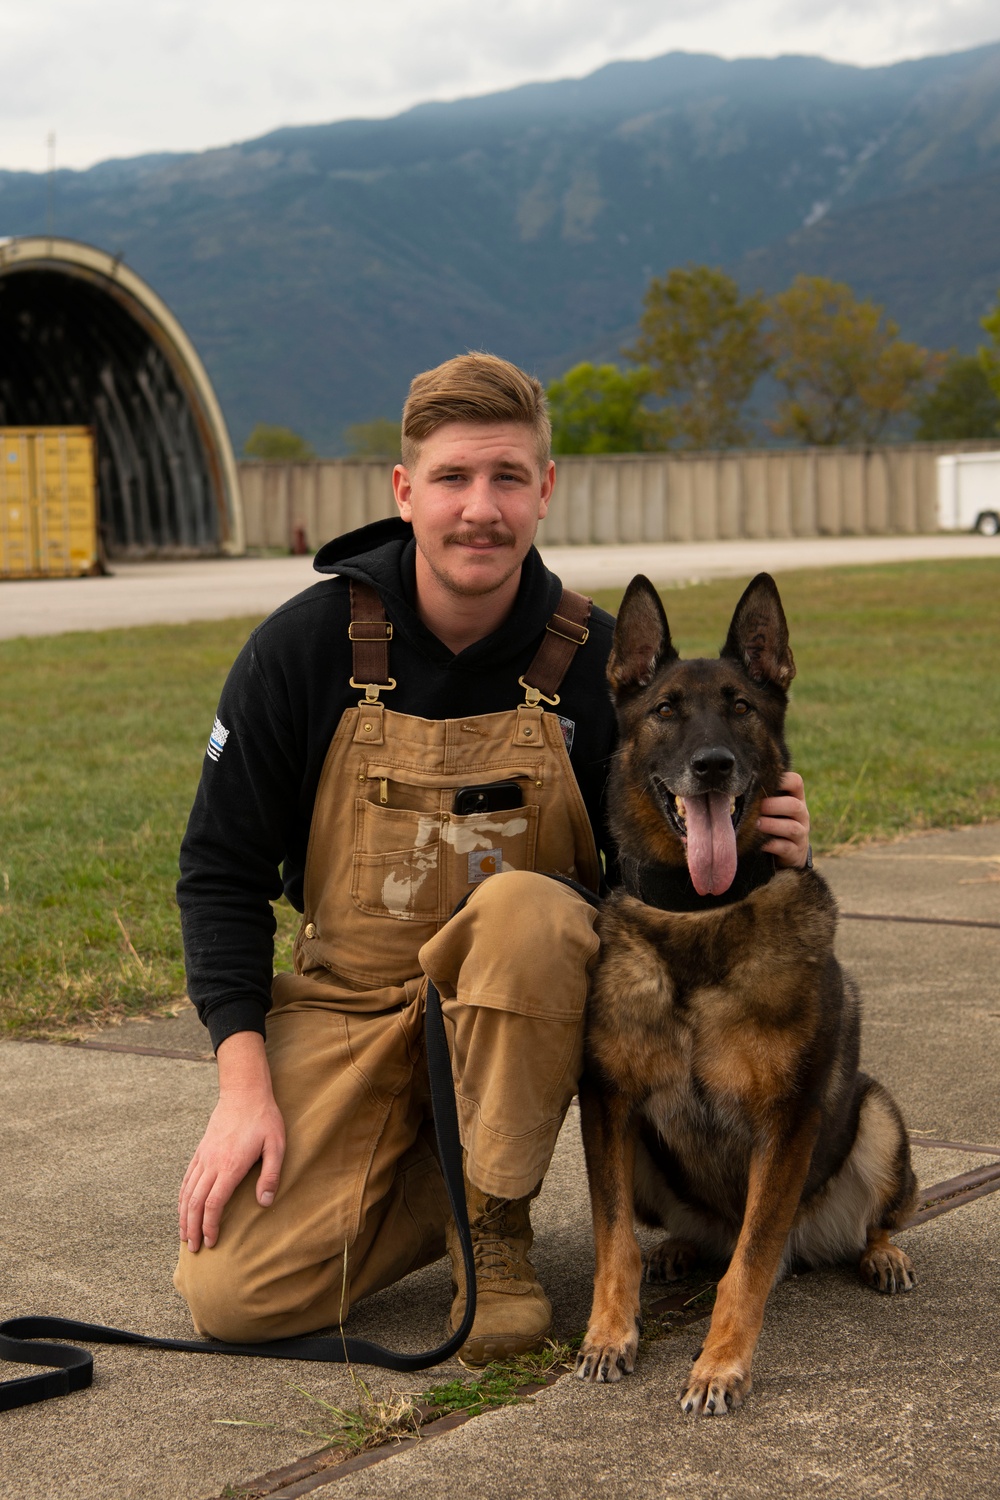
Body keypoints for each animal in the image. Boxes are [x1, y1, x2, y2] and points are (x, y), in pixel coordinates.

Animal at [575, 573, 917, 1416]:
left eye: (741, 706)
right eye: (666, 708)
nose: (712, 765)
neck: (702, 914)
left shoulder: (786, 1122)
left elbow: (751, 1264)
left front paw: (721, 1364)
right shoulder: (609, 1106)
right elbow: (612, 1239)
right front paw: (611, 1332)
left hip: (878, 1117)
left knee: (857, 1224)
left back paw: (882, 1254)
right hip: (648, 1159)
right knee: (684, 1238)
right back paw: (676, 1251)